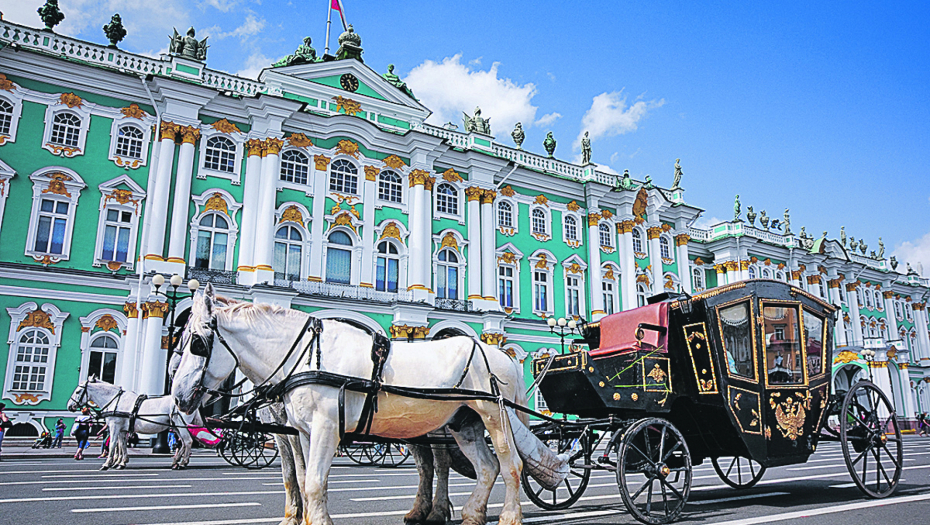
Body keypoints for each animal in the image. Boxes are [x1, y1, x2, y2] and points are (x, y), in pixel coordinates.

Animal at [173, 284, 536, 524]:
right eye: (180, 341)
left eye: (197, 343)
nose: (177, 396)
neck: (307, 355)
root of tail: (504, 356)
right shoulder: (300, 431)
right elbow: (301, 480)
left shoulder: (326, 428)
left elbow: (314, 482)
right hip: (463, 423)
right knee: (483, 467)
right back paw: (469, 514)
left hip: (494, 416)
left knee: (510, 464)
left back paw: (508, 516)